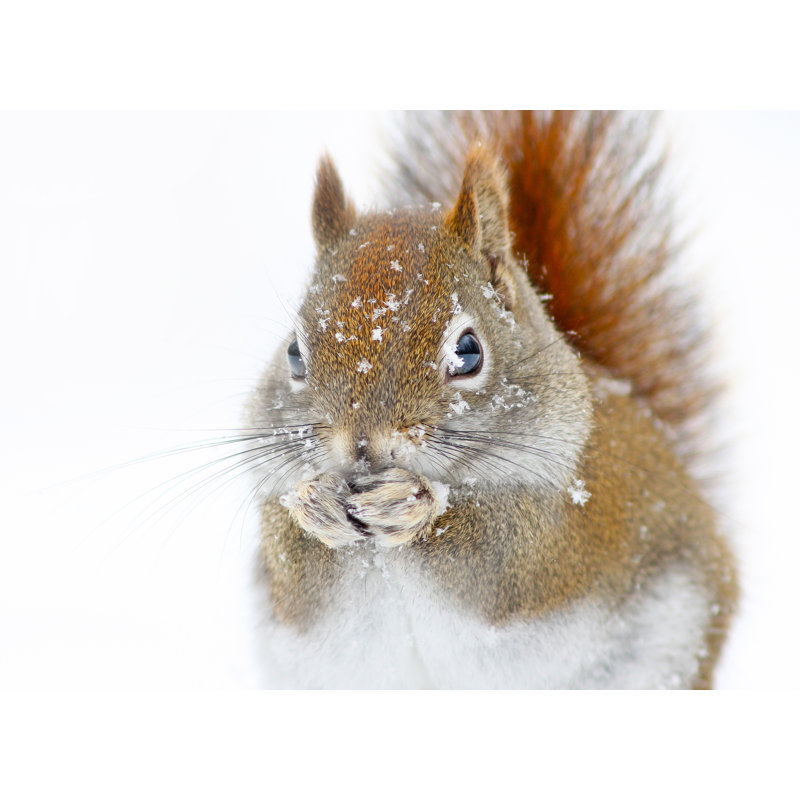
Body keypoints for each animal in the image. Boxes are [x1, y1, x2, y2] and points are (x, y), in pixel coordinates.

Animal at [246, 111, 737, 689]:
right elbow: (295, 571)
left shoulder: (560, 533)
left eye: (468, 351)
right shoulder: (292, 589)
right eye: (294, 355)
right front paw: (313, 503)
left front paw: (414, 503)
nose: (363, 444)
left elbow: (497, 559)